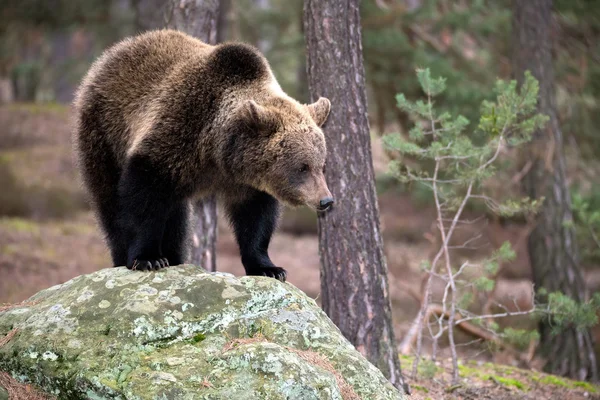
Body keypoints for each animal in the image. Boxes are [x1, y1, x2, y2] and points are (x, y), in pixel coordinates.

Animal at [73, 29, 332, 282]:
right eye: (303, 166)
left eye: (321, 165)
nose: (326, 200)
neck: (218, 153)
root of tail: (112, 52)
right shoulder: (174, 136)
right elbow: (143, 199)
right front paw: (147, 258)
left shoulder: (248, 182)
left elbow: (256, 219)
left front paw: (269, 268)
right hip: (104, 131)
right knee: (109, 199)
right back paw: (123, 255)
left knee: (176, 217)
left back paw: (175, 256)